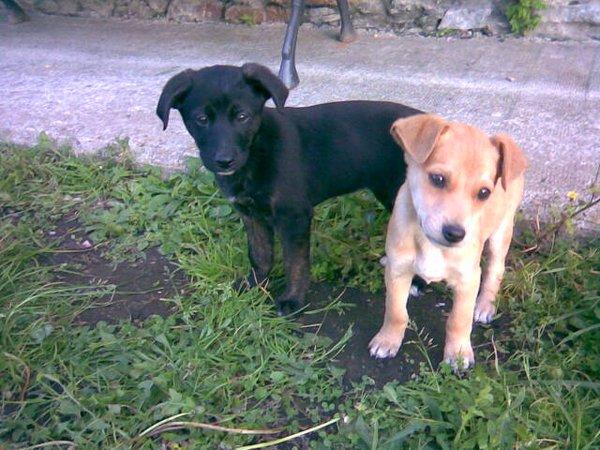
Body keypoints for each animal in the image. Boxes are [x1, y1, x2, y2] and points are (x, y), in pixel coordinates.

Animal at [159, 64, 422, 312]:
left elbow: (294, 262)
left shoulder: (294, 216)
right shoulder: (251, 215)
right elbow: (259, 255)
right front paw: (253, 285)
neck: (256, 151)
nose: (224, 161)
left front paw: (293, 300)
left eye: (242, 116)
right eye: (201, 119)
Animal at [368, 114, 528, 370]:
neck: (432, 245)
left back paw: (485, 305)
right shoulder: (398, 270)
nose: (455, 233)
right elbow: (395, 311)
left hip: (501, 232)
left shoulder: (468, 279)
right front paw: (387, 340)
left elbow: (458, 320)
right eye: (438, 179)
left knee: (495, 269)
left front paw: (459, 353)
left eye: (484, 193)